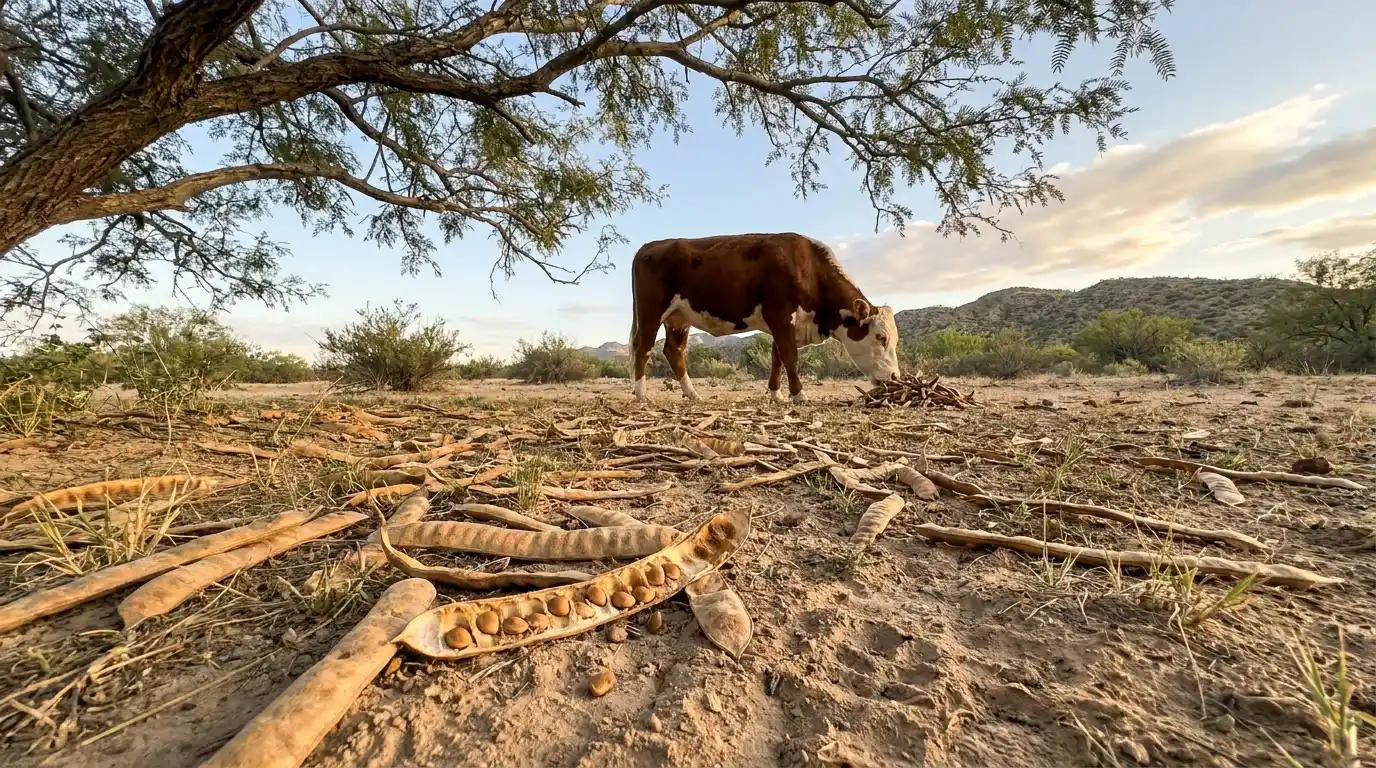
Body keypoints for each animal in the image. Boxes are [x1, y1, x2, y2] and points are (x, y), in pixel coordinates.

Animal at [627, 232, 901, 404]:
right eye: (881, 337)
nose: (896, 377)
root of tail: (650, 245)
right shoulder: (779, 314)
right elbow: (789, 356)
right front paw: (799, 395)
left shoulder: (784, 324)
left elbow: (776, 357)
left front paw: (776, 395)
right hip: (651, 312)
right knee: (643, 347)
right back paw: (641, 395)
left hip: (679, 318)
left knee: (674, 351)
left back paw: (692, 394)